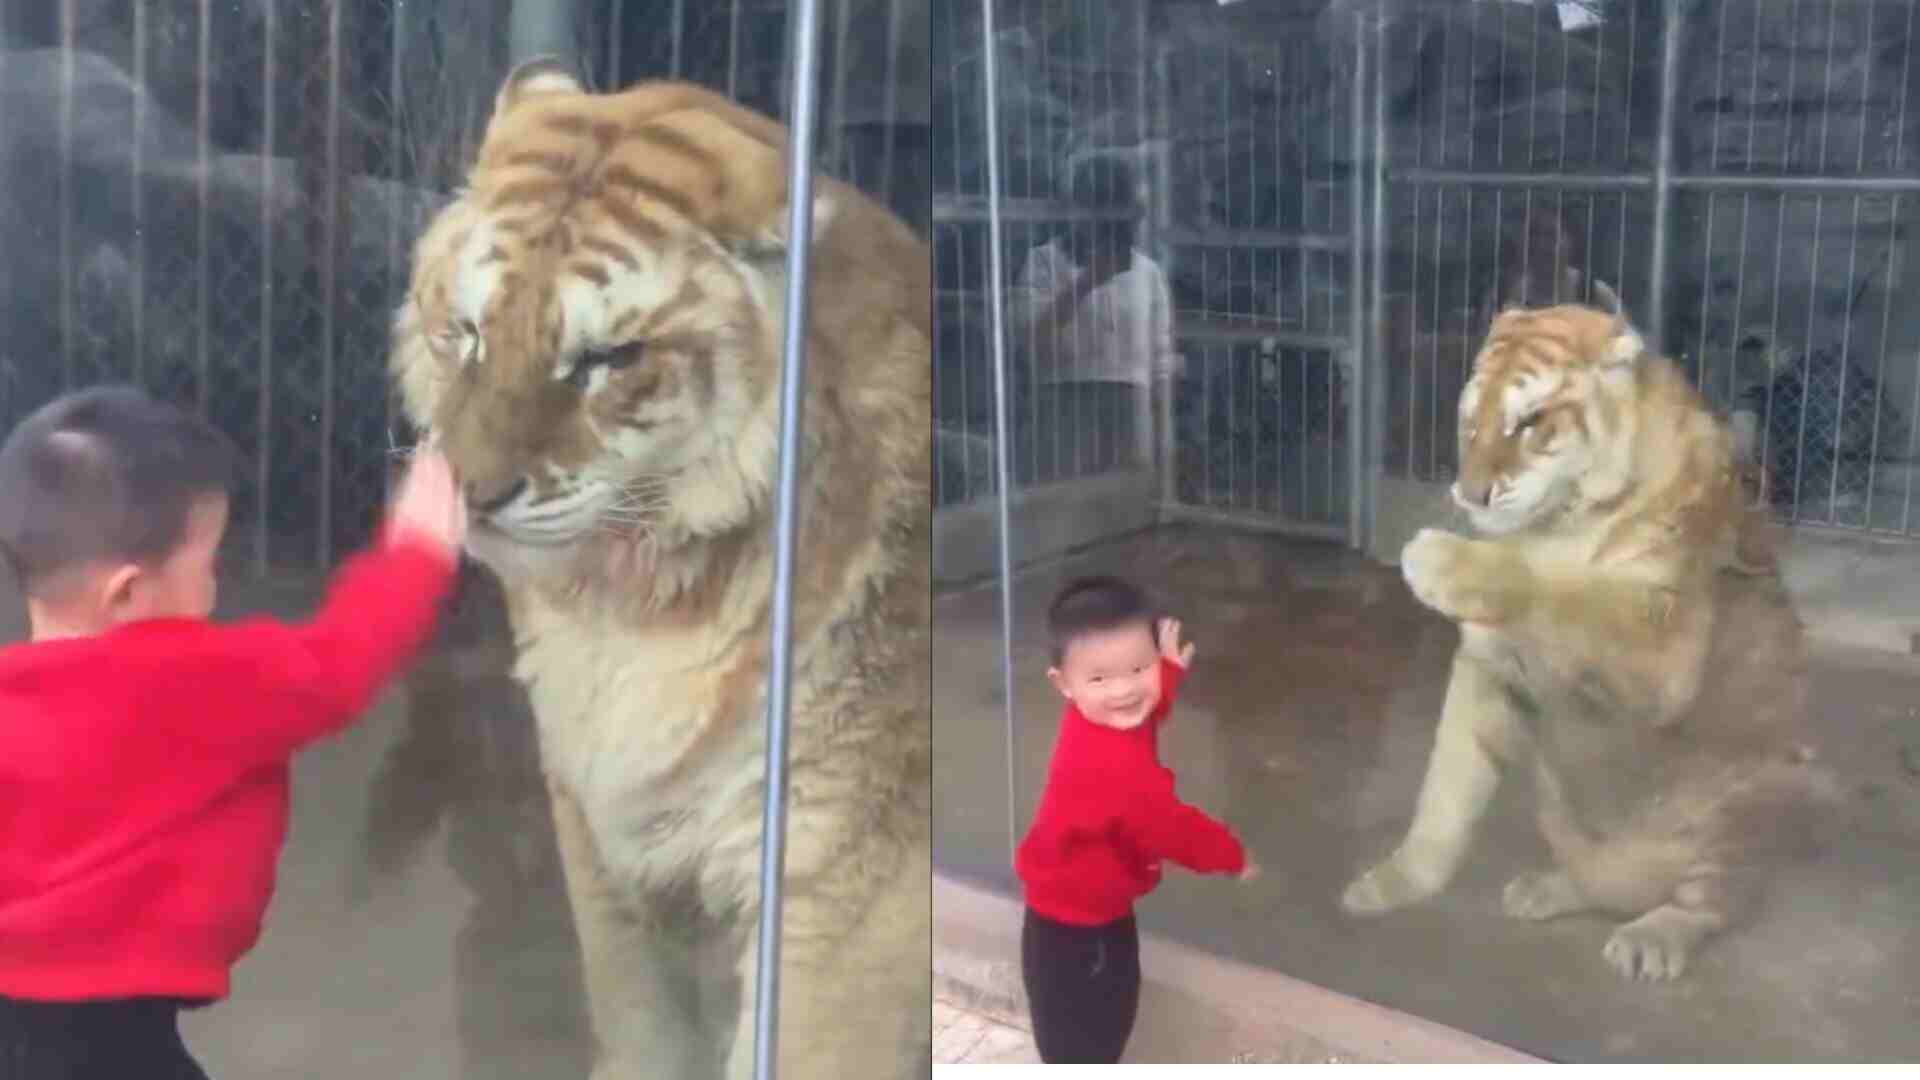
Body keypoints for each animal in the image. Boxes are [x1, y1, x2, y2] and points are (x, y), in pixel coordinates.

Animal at [387, 61, 929, 1076]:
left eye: (607, 358)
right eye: (470, 332)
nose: (468, 492)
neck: (631, 610)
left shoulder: (837, 874)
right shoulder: (601, 824)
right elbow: (640, 1017)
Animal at [1336, 288, 1827, 983]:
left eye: (1530, 421)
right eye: (1471, 422)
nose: (1470, 495)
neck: (1563, 519)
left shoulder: (1662, 651)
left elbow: (1566, 592)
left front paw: (1434, 558)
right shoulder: (1487, 670)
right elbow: (1444, 794)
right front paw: (1391, 885)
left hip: (1746, 804)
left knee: (1710, 903)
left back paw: (1650, 937)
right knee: (1598, 881)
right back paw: (1545, 890)